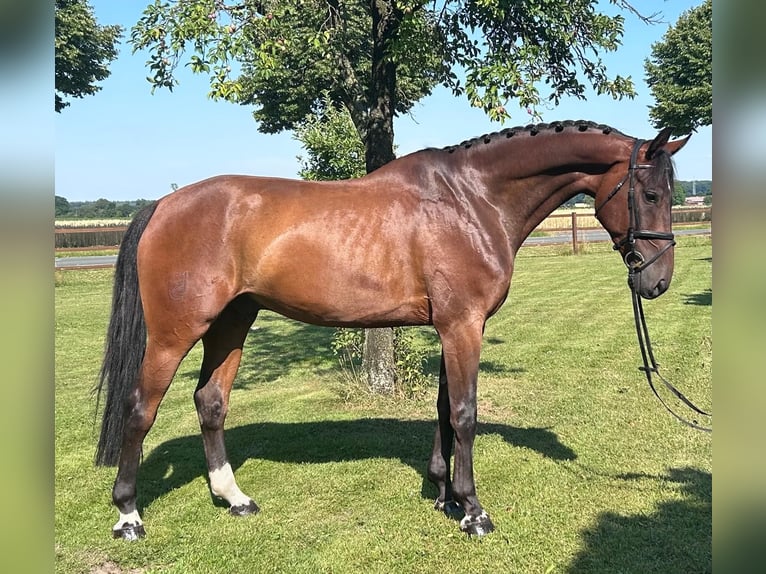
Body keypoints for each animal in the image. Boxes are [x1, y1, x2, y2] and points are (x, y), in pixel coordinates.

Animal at [94, 120, 688, 540]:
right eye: (651, 194)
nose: (657, 281)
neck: (471, 200)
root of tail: (164, 204)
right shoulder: (463, 326)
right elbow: (465, 414)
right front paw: (473, 512)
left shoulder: (452, 327)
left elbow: (445, 410)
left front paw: (444, 495)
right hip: (174, 332)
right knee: (140, 409)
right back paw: (128, 516)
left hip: (232, 322)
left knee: (211, 401)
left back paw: (233, 497)